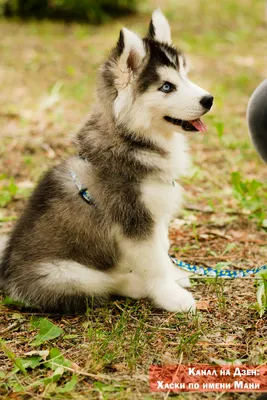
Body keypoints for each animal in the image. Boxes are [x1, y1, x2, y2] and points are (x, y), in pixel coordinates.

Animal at [0, 9, 214, 314]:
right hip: (65, 274)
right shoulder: (133, 220)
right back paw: (135, 285)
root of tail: (6, 272)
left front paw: (174, 275)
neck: (132, 139)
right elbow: (154, 264)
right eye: (166, 87)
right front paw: (172, 296)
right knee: (107, 283)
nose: (209, 99)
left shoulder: (156, 213)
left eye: (185, 75)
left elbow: (162, 249)